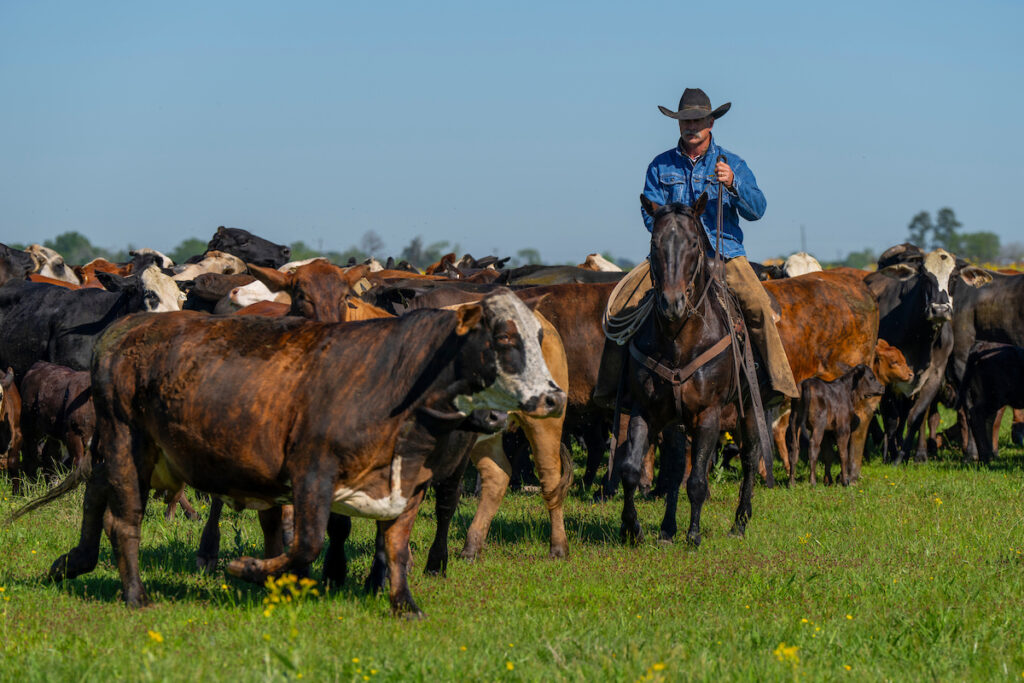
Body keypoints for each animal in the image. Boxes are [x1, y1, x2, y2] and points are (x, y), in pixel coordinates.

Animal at [614, 194, 770, 548]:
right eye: (654, 243)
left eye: (693, 244)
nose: (672, 303)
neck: (678, 339)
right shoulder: (645, 409)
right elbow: (631, 470)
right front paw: (633, 528)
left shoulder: (709, 413)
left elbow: (698, 479)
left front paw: (694, 534)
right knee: (674, 466)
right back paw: (667, 529)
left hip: (749, 407)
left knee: (751, 457)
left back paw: (740, 522)